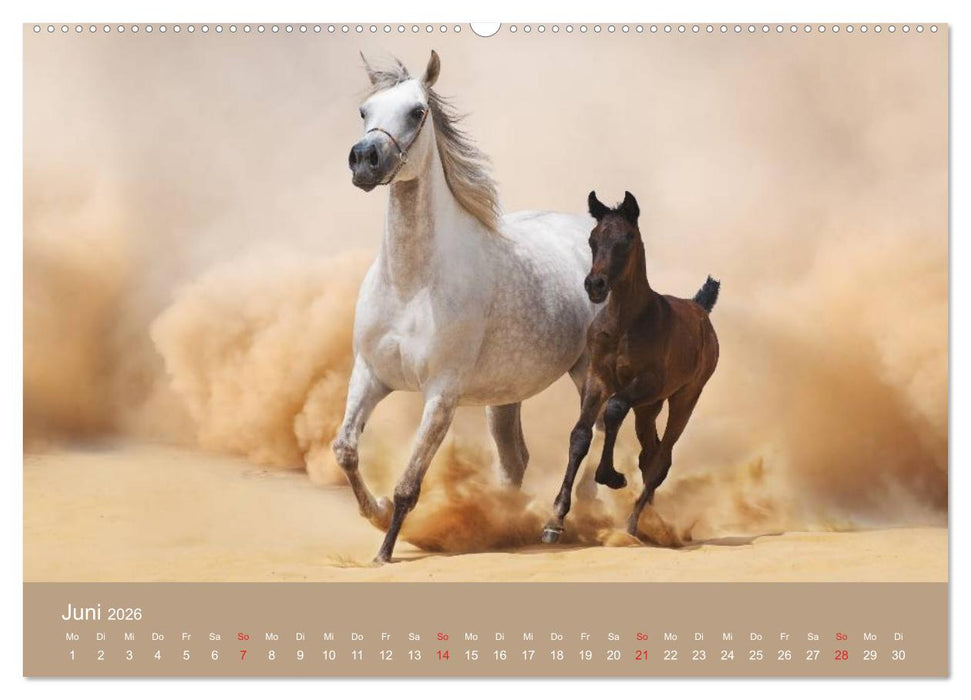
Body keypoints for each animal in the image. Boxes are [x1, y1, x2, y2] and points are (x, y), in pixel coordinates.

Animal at [333, 50, 600, 563]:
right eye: (364, 110)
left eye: (417, 111)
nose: (365, 161)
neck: (411, 285)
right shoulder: (370, 375)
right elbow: (346, 450)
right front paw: (374, 513)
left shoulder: (442, 395)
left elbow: (409, 484)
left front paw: (384, 552)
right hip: (505, 395)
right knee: (515, 460)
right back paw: (505, 527)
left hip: (588, 374)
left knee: (589, 441)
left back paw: (563, 524)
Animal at [541, 191, 720, 543]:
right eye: (593, 238)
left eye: (627, 238)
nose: (595, 285)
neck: (624, 322)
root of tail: (699, 308)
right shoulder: (597, 378)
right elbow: (580, 435)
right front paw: (554, 520)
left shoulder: (646, 383)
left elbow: (613, 410)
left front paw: (611, 476)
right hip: (649, 409)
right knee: (649, 454)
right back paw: (651, 519)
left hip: (684, 397)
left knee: (661, 459)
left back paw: (633, 524)